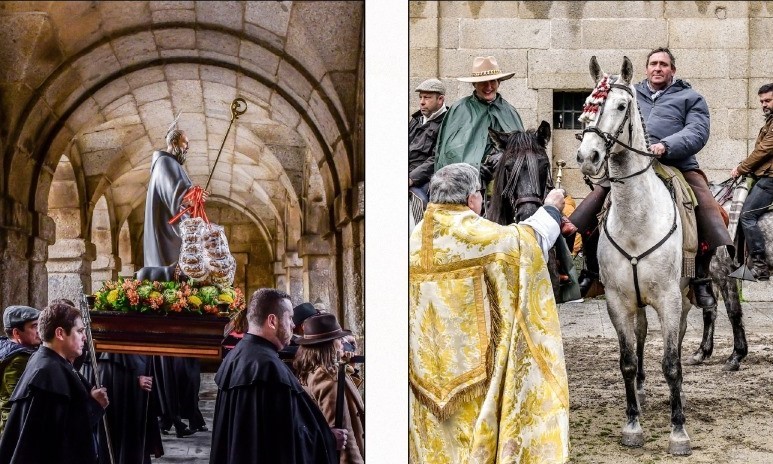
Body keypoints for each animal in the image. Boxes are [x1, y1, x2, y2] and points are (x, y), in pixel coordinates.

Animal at [576, 56, 692, 454]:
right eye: (586, 106)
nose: (588, 157)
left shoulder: (670, 299)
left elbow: (671, 363)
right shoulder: (619, 300)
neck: (637, 218)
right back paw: (640, 391)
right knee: (641, 335)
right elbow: (626, 361)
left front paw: (678, 432)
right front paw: (632, 425)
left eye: (621, 106)